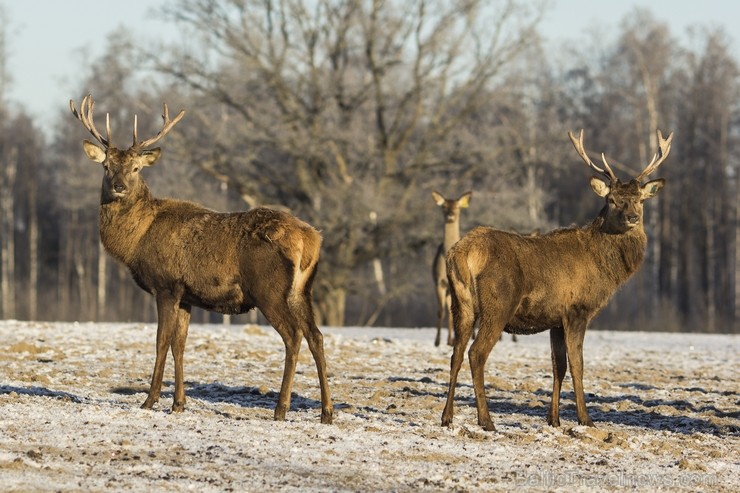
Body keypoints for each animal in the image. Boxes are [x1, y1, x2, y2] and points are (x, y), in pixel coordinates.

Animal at [70, 95, 332, 422]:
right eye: (106, 166)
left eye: (136, 168)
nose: (119, 187)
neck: (136, 241)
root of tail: (312, 239)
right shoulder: (186, 296)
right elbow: (179, 346)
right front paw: (178, 403)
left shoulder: (166, 285)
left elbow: (161, 342)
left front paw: (150, 400)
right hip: (302, 290)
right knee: (316, 336)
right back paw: (327, 412)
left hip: (269, 289)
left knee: (293, 335)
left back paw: (281, 409)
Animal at [430, 189, 472, 346]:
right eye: (443, 206)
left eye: (458, 207)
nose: (451, 215)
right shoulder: (438, 282)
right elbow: (441, 311)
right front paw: (437, 341)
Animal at [442, 129, 672, 428]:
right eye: (611, 200)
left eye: (640, 200)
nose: (632, 217)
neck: (603, 268)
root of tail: (462, 252)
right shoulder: (577, 310)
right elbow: (577, 364)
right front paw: (585, 419)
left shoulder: (555, 320)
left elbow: (557, 366)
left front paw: (554, 419)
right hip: (498, 304)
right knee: (476, 353)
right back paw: (486, 421)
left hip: (461, 305)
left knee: (455, 353)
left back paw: (446, 417)